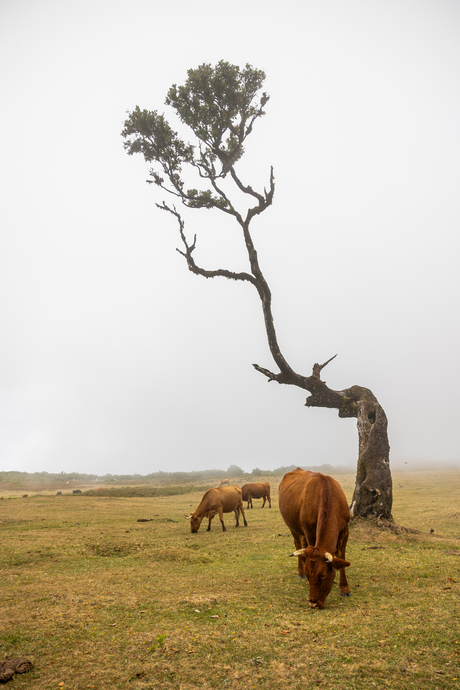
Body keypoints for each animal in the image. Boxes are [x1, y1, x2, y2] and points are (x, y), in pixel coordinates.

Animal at [278, 468, 350, 608]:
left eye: (323, 575)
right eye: (309, 575)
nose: (313, 603)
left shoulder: (345, 530)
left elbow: (341, 557)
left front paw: (344, 587)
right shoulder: (309, 532)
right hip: (293, 527)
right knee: (298, 543)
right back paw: (299, 571)